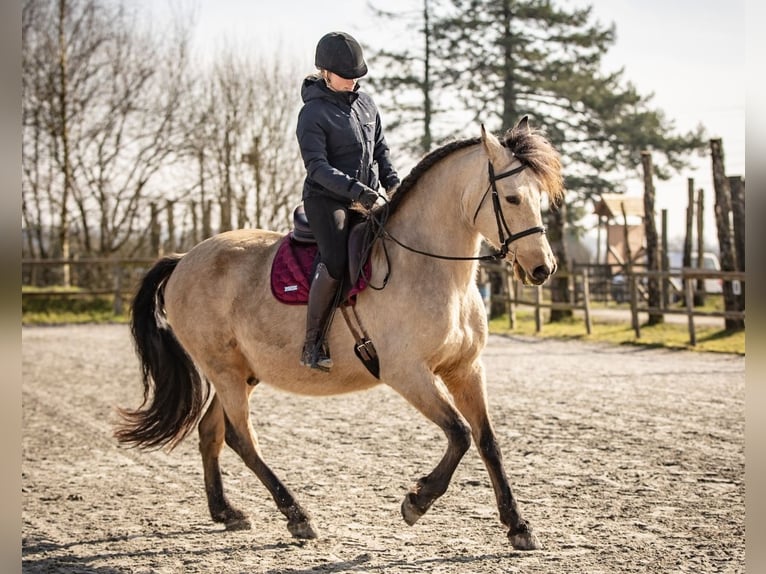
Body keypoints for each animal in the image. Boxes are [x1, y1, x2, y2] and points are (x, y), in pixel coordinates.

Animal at [117, 115, 568, 552]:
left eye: (539, 198)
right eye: (512, 198)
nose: (543, 268)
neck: (431, 269)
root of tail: (183, 259)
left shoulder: (466, 369)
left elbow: (487, 440)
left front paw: (518, 526)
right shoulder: (407, 373)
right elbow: (458, 433)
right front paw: (416, 501)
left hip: (238, 374)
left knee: (211, 433)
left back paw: (227, 512)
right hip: (224, 372)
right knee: (242, 439)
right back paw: (297, 516)